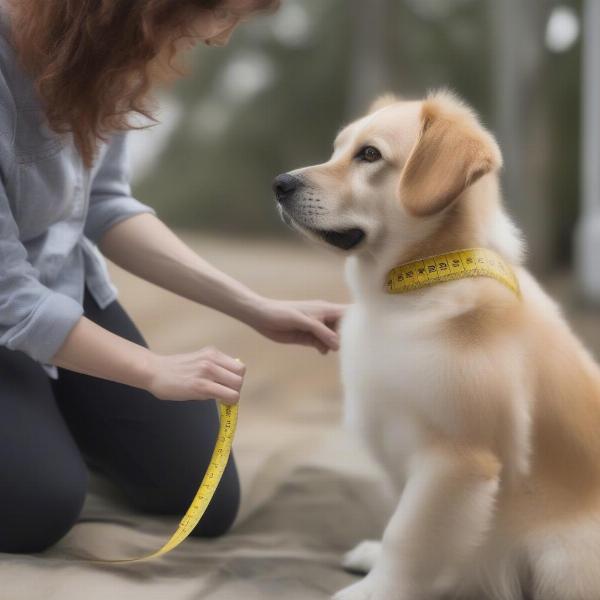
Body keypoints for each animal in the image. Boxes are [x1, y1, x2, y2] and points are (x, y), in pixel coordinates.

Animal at [274, 90, 600, 600]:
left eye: (369, 155)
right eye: (337, 150)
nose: (279, 184)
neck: (404, 300)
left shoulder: (455, 460)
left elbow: (407, 533)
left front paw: (377, 590)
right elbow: (402, 521)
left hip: (558, 555)